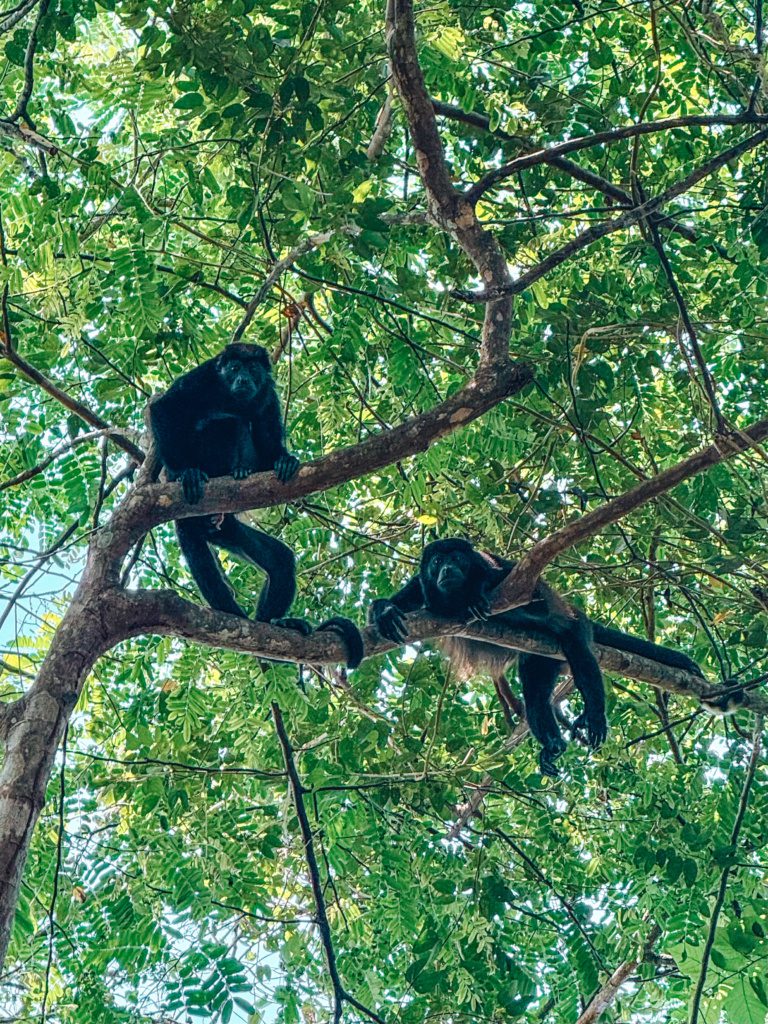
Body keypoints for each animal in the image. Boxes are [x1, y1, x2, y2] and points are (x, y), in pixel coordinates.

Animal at [150, 343, 363, 668]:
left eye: (252, 369)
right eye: (233, 368)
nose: (242, 379)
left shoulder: (268, 394)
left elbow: (267, 434)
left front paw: (283, 459)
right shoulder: (202, 378)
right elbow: (164, 408)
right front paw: (183, 472)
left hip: (227, 531)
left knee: (281, 561)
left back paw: (273, 624)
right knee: (229, 423)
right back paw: (213, 473)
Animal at [369, 538, 706, 775]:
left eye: (457, 558)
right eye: (437, 561)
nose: (447, 570)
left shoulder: (491, 565)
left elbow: (525, 589)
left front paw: (478, 593)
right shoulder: (421, 585)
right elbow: (395, 607)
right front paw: (384, 610)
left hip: (574, 625)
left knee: (579, 652)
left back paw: (595, 713)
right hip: (539, 657)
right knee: (535, 695)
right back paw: (553, 743)